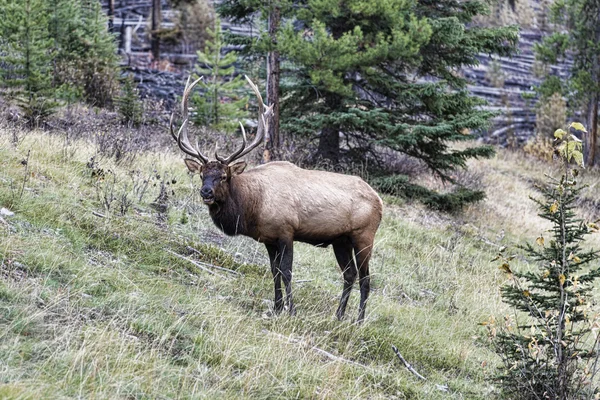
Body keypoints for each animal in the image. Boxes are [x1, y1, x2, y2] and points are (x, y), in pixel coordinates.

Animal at [171, 76, 382, 322]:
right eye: (202, 174)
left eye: (223, 176)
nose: (206, 193)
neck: (252, 206)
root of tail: (380, 201)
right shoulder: (269, 238)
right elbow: (274, 271)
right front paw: (277, 307)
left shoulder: (286, 231)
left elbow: (287, 271)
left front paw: (291, 310)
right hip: (341, 239)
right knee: (349, 274)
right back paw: (338, 316)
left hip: (364, 236)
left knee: (365, 279)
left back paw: (359, 320)